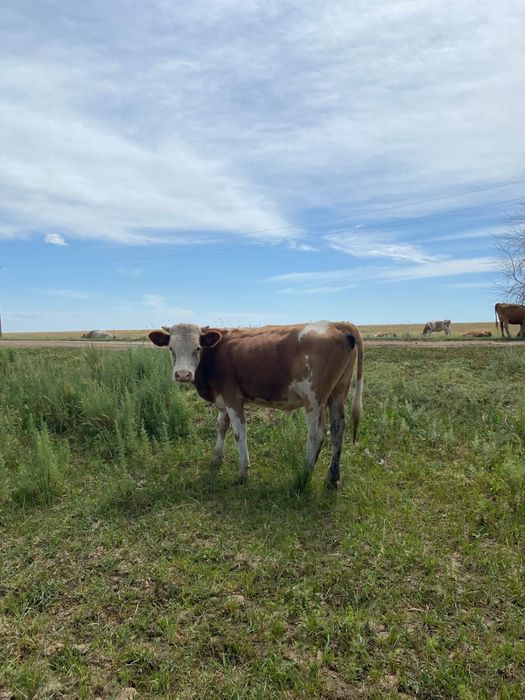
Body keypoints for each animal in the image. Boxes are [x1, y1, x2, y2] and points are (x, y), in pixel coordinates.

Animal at [148, 321, 364, 487]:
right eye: (171, 348)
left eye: (198, 348)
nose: (183, 374)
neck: (215, 353)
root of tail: (336, 323)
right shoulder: (223, 398)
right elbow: (221, 426)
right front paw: (217, 457)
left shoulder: (232, 396)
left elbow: (239, 433)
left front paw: (243, 471)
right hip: (338, 392)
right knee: (338, 429)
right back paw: (332, 478)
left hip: (314, 399)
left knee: (316, 434)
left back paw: (304, 474)